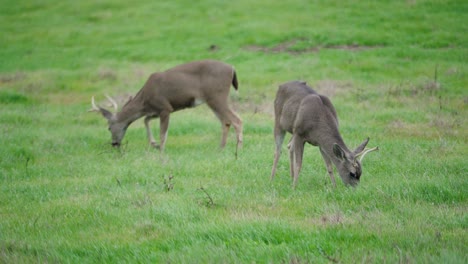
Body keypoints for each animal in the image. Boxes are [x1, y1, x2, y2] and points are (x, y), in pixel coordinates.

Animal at [88, 59, 241, 154]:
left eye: (109, 127)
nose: (114, 144)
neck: (145, 100)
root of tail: (232, 68)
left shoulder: (165, 107)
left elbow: (163, 133)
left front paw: (161, 150)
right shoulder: (155, 110)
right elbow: (146, 120)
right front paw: (154, 144)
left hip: (217, 96)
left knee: (237, 120)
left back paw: (238, 148)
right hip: (213, 100)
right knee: (226, 121)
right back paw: (220, 148)